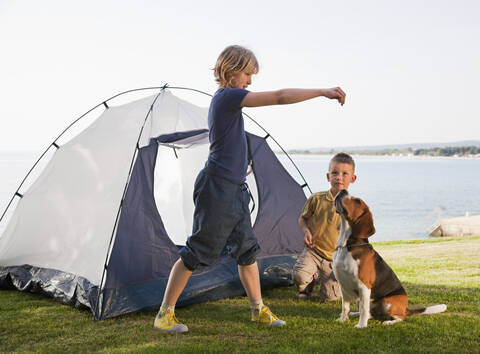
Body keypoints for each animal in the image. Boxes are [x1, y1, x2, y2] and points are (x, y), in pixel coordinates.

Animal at [334, 189, 446, 328]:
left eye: (357, 201)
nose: (343, 190)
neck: (348, 245)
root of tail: (405, 308)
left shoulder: (364, 286)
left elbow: (364, 309)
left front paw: (361, 326)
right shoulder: (343, 285)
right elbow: (345, 307)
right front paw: (343, 320)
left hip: (387, 302)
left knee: (399, 317)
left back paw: (388, 322)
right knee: (370, 313)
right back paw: (355, 314)